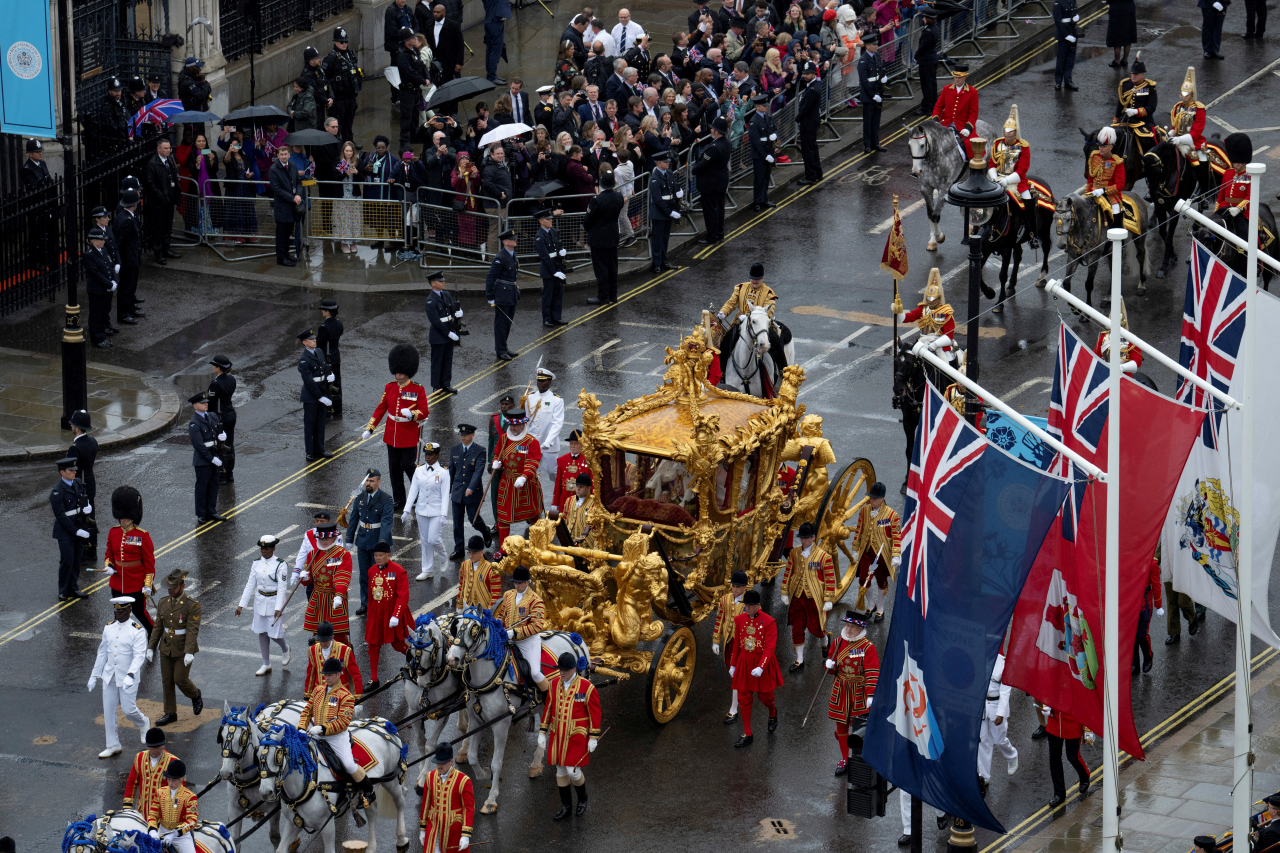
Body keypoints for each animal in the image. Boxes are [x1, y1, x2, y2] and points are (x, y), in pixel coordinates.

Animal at [217, 696, 304, 845]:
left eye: (242, 737)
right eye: (221, 736)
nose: (225, 773)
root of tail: (293, 701)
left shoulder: (273, 809)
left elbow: (275, 837)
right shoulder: (234, 809)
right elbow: (235, 839)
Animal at [261, 722, 414, 850]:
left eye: (278, 755)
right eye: (257, 756)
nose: (265, 793)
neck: (308, 785)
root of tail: (383, 723)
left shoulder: (327, 827)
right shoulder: (295, 823)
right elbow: (281, 849)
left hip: (390, 780)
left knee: (400, 801)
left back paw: (401, 838)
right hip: (367, 793)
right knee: (372, 812)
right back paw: (371, 848)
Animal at [445, 604, 588, 809]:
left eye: (474, 629)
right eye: (454, 627)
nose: (452, 659)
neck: (490, 679)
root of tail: (574, 637)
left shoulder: (501, 725)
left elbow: (497, 763)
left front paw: (491, 799)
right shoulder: (475, 719)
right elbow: (472, 756)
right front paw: (484, 774)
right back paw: (536, 764)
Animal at [911, 117, 998, 249]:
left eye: (922, 145)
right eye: (909, 145)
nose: (916, 171)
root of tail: (987, 125)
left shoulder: (944, 189)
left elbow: (935, 216)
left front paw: (939, 237)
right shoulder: (926, 188)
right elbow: (930, 214)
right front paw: (932, 241)